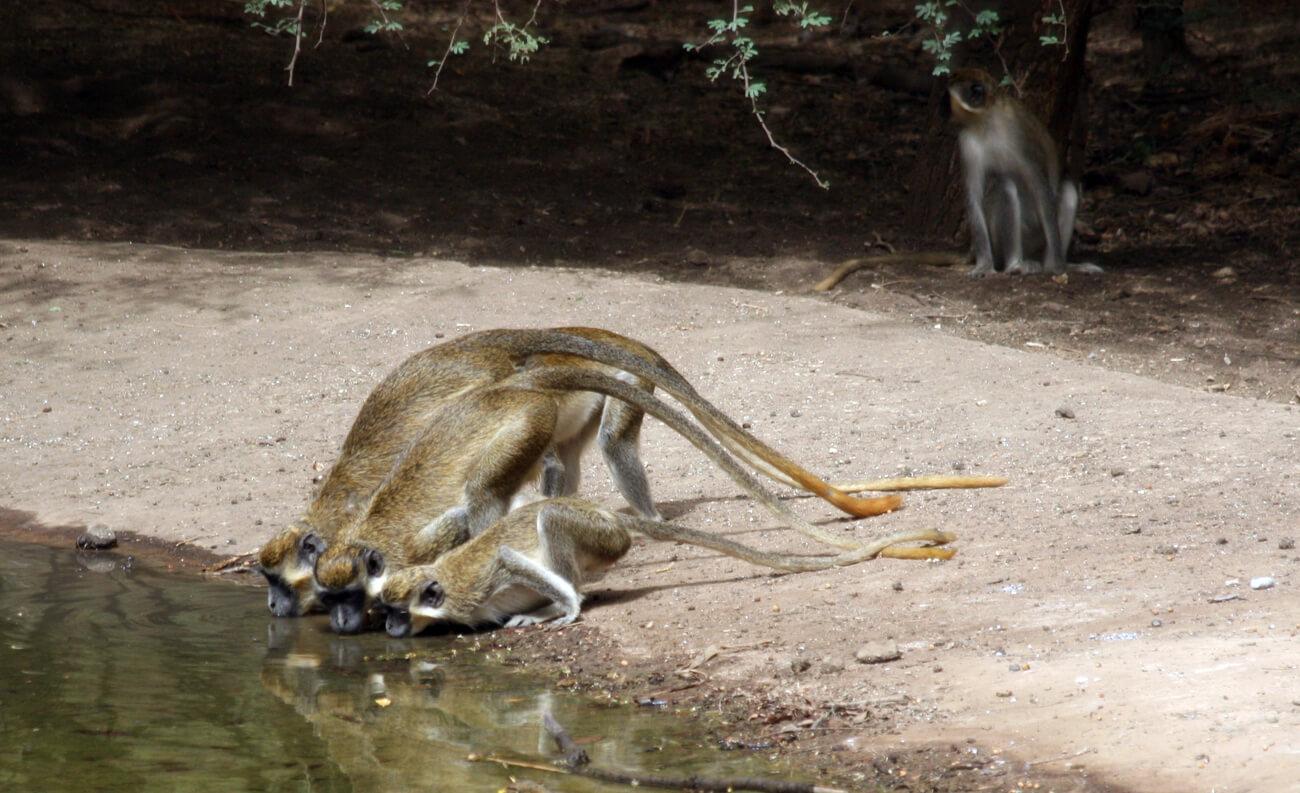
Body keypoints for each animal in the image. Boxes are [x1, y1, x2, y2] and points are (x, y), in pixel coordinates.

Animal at [951, 67, 1102, 278]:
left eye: (974, 89)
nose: (944, 110)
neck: (986, 122)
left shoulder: (1019, 134)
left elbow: (1040, 184)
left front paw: (1059, 266)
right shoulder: (967, 142)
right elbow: (974, 197)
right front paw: (983, 266)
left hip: (1038, 238)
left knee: (1068, 192)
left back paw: (1051, 265)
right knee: (1005, 186)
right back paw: (1015, 264)